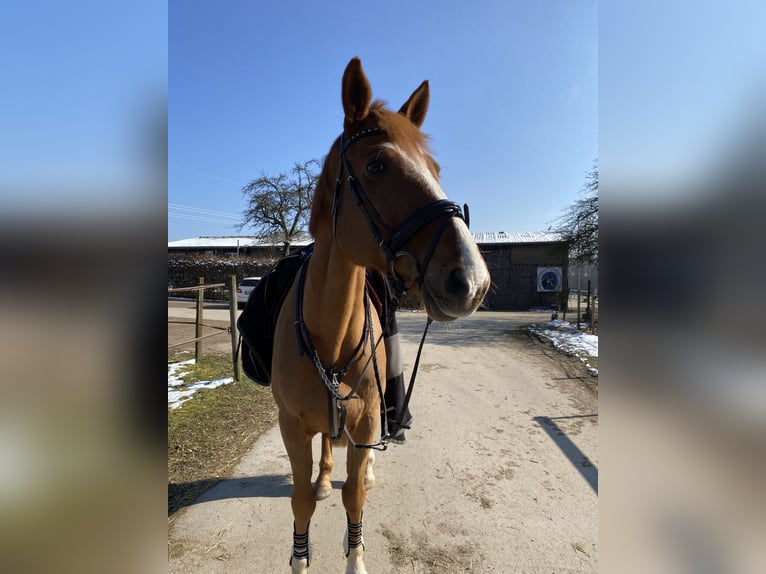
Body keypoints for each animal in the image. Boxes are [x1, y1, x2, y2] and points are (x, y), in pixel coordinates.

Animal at [270, 57, 491, 574]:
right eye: (376, 165)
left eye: (435, 169)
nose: (471, 279)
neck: (328, 336)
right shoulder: (292, 426)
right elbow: (300, 502)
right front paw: (301, 553)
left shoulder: (368, 418)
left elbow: (355, 498)